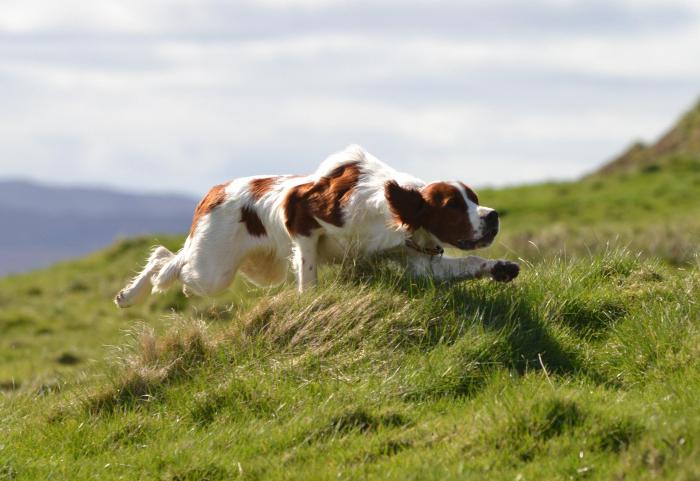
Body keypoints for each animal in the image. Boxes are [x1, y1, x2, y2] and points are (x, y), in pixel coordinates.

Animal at [115, 143, 520, 308]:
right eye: (453, 206)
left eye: (474, 197)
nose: (493, 216)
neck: (387, 208)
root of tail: (214, 191)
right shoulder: (303, 219)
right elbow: (308, 275)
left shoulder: (417, 258)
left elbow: (467, 264)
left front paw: (502, 268)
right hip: (213, 269)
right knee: (166, 260)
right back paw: (128, 295)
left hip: (253, 269)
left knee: (172, 261)